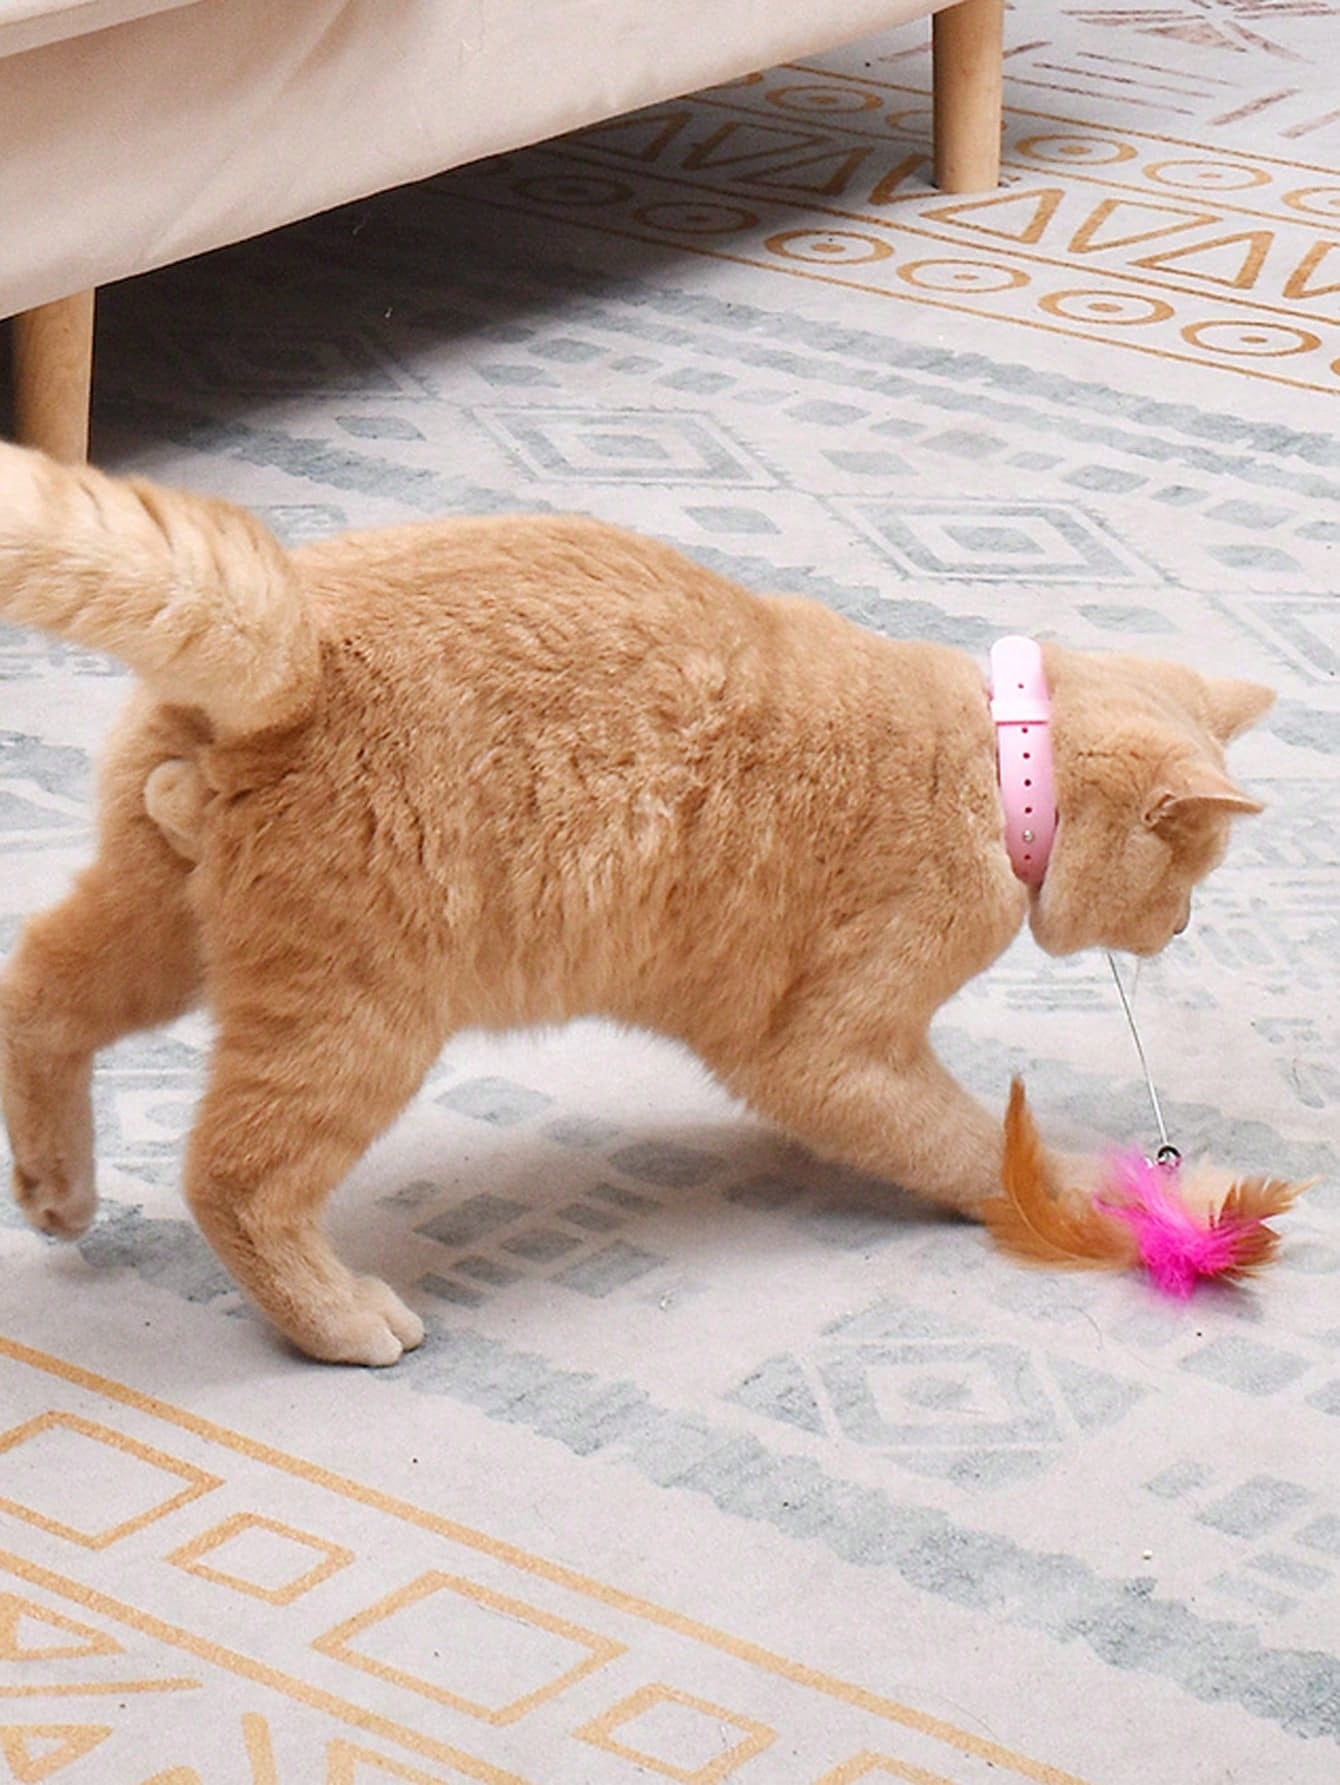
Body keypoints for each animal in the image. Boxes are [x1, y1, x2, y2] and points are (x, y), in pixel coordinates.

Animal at [0, 442, 1271, 1364]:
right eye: (1188, 879)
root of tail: (300, 649)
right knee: (233, 1171)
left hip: (162, 930)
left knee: (36, 994)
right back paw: (341, 1320)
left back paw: (58, 1192)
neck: (990, 765)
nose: (1182, 928)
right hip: (359, 1014)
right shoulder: (828, 1049)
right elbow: (966, 1141)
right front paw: (1086, 1195)